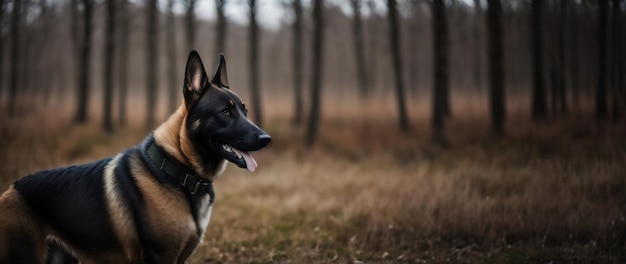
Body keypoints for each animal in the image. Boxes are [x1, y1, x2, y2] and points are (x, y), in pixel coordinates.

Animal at [0, 50, 266, 262]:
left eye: (245, 111)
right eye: (225, 112)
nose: (266, 139)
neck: (177, 169)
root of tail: (10, 190)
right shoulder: (160, 257)